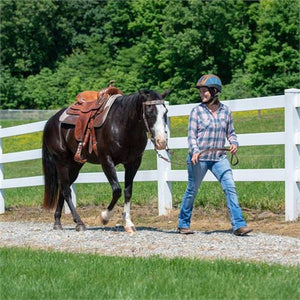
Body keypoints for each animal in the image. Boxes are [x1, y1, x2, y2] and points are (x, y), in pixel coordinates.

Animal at [41, 90, 169, 233]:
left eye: (165, 112)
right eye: (149, 112)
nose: (162, 142)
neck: (122, 124)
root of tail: (51, 121)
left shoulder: (133, 163)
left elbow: (128, 192)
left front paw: (128, 223)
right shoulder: (106, 161)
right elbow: (117, 190)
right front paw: (104, 217)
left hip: (75, 165)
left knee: (64, 188)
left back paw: (57, 221)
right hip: (61, 161)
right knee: (66, 190)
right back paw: (79, 223)